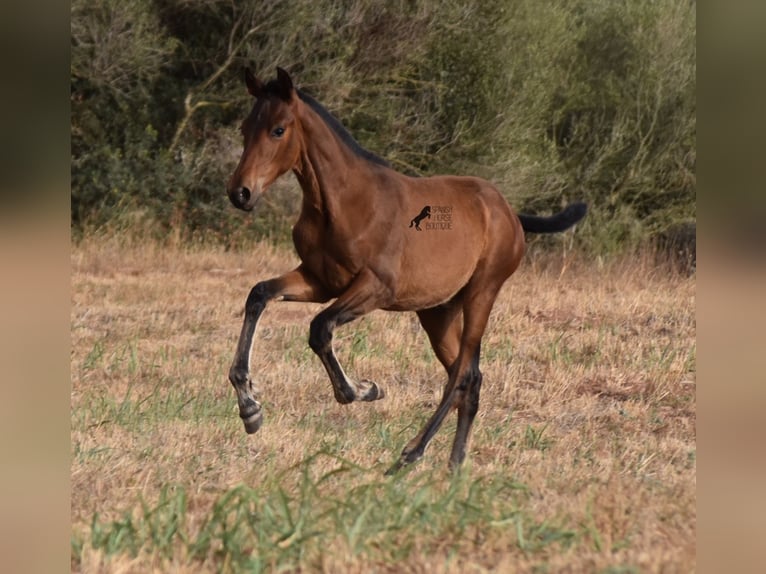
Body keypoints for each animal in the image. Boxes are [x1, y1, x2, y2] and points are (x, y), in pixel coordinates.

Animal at [226, 67, 588, 474]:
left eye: (278, 129)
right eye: (245, 127)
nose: (240, 193)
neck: (343, 204)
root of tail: (509, 213)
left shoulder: (376, 287)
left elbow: (320, 328)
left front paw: (365, 389)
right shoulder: (319, 281)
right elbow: (259, 294)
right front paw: (250, 409)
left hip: (483, 292)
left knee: (462, 374)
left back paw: (409, 455)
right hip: (438, 312)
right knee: (470, 376)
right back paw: (454, 467)